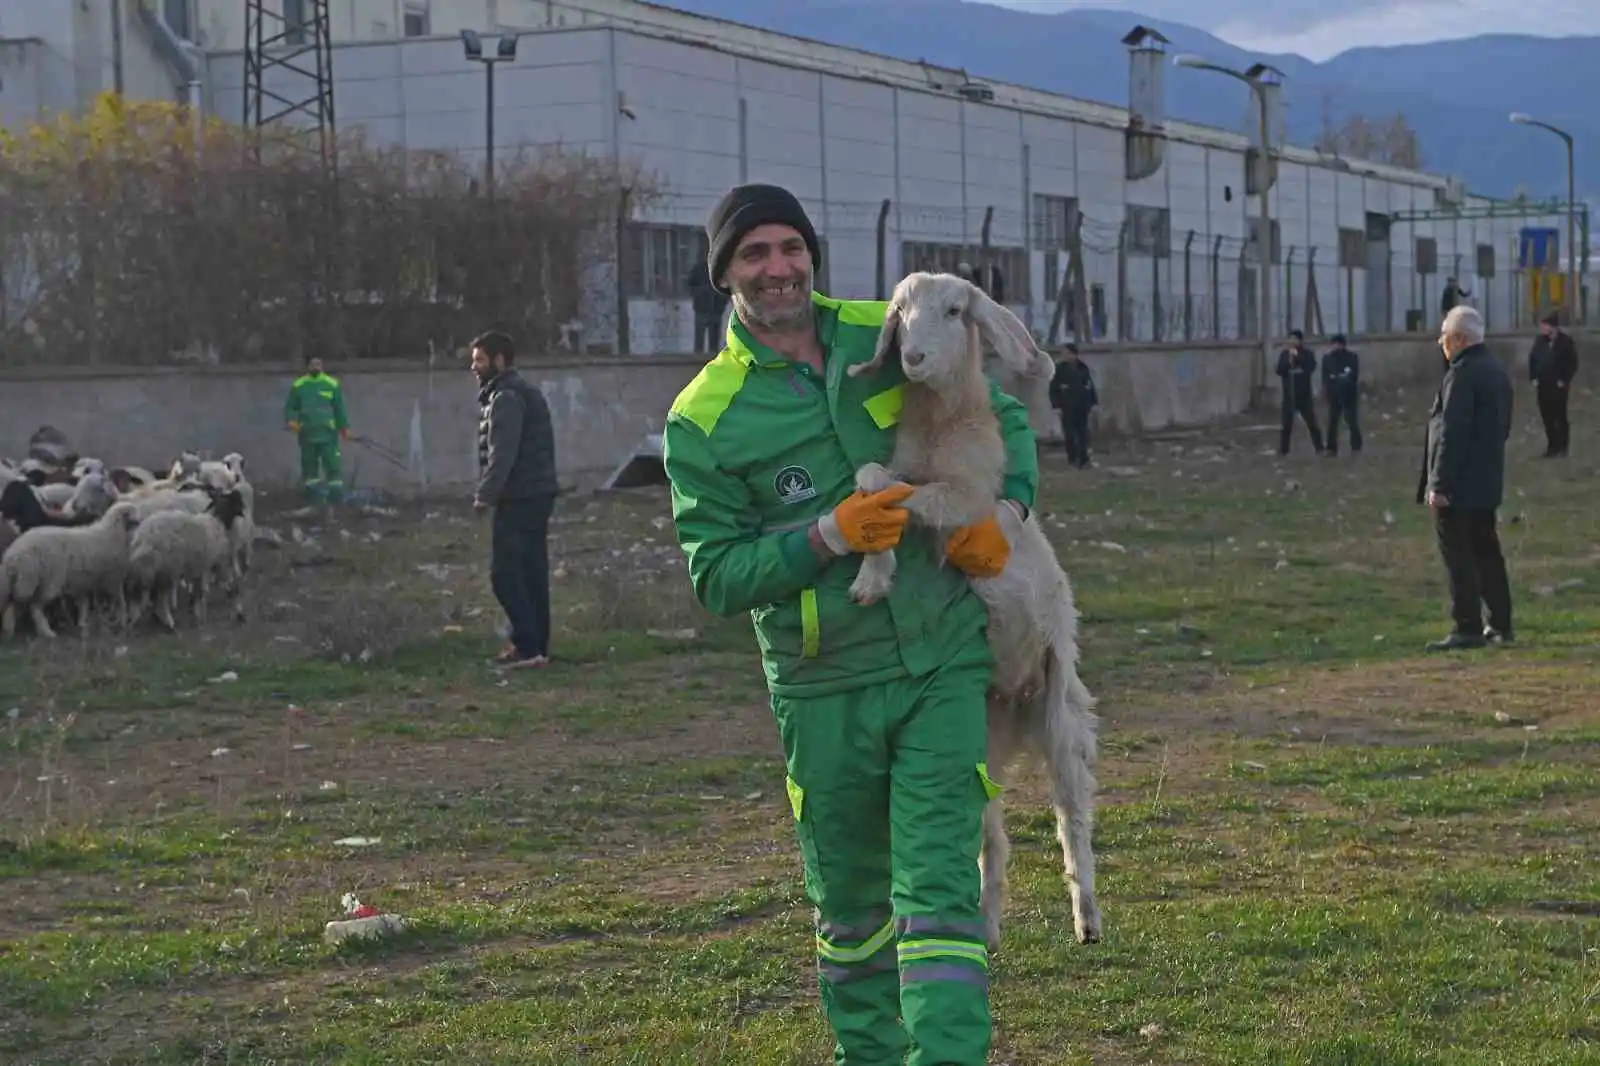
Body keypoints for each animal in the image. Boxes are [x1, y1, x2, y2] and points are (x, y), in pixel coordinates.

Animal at [0, 492, 142, 633]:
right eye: (130, 513)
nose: (140, 521)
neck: (112, 533)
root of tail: (12, 555)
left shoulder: (84, 581)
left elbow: (84, 603)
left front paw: (83, 624)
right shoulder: (113, 578)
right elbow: (120, 601)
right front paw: (122, 620)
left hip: (22, 581)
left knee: (13, 602)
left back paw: (11, 630)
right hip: (47, 580)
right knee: (35, 606)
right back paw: (47, 632)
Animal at [851, 272, 1100, 947]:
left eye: (956, 310)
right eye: (899, 310)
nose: (912, 358)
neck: (946, 423)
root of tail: (1014, 703)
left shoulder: (967, 502)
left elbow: (904, 493)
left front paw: (873, 571)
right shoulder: (908, 471)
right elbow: (874, 478)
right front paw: (872, 572)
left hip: (1059, 709)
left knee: (1072, 811)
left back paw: (1087, 916)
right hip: (976, 740)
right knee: (991, 833)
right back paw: (985, 926)